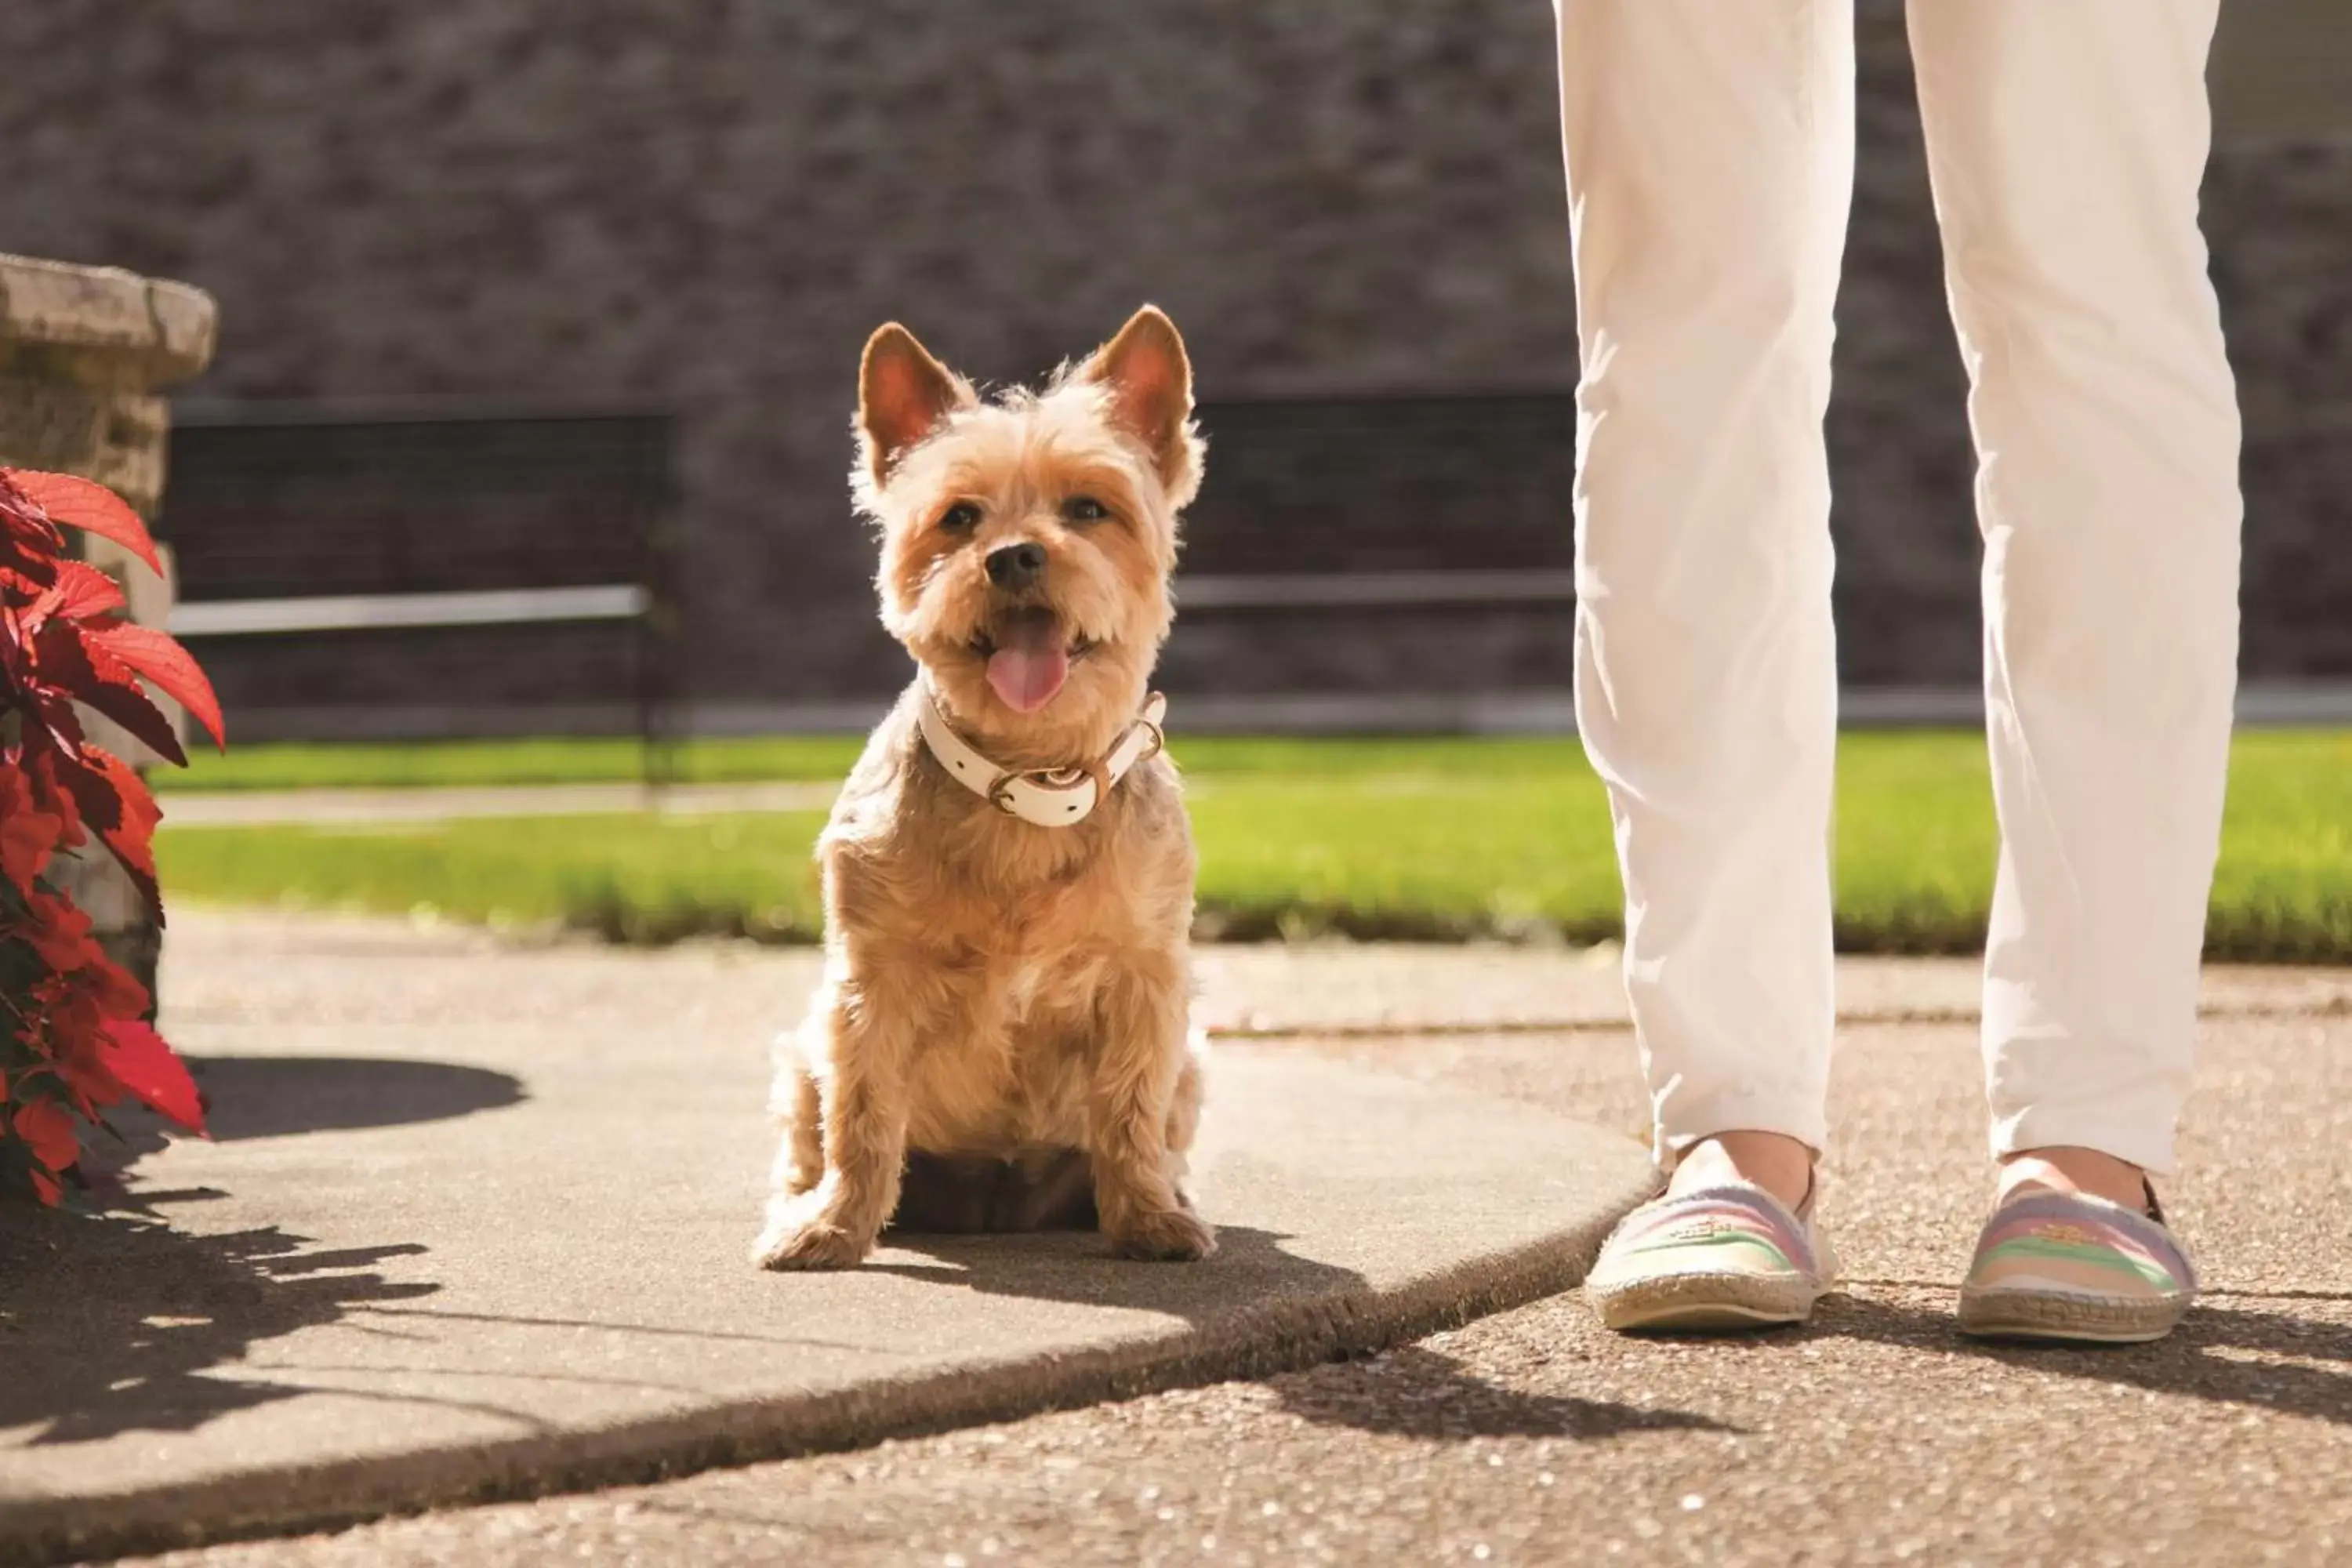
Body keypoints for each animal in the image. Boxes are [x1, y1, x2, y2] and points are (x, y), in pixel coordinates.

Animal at [753, 305, 1223, 1279]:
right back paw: (800, 1205)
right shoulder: (869, 984)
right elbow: (862, 1116)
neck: (1029, 781)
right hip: (802, 1047)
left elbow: (1129, 1109)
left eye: (1089, 507)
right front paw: (833, 1227)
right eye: (959, 516)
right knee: (811, 1131)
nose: (1011, 556)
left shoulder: (1145, 981)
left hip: (1194, 1059)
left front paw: (1147, 1218)